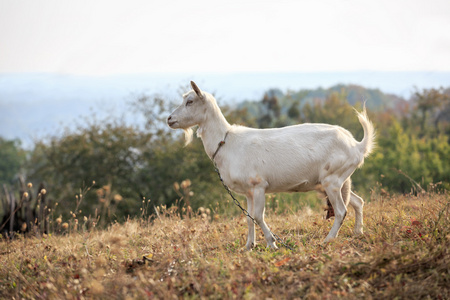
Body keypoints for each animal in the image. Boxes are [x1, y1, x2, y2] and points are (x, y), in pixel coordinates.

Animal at [167, 81, 374, 250]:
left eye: (190, 101)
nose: (169, 119)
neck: (226, 142)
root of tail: (357, 145)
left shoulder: (259, 185)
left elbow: (259, 216)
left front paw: (272, 243)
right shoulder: (248, 191)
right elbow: (249, 217)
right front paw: (248, 246)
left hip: (332, 179)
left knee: (341, 210)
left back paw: (328, 240)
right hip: (338, 180)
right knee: (357, 201)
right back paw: (358, 232)